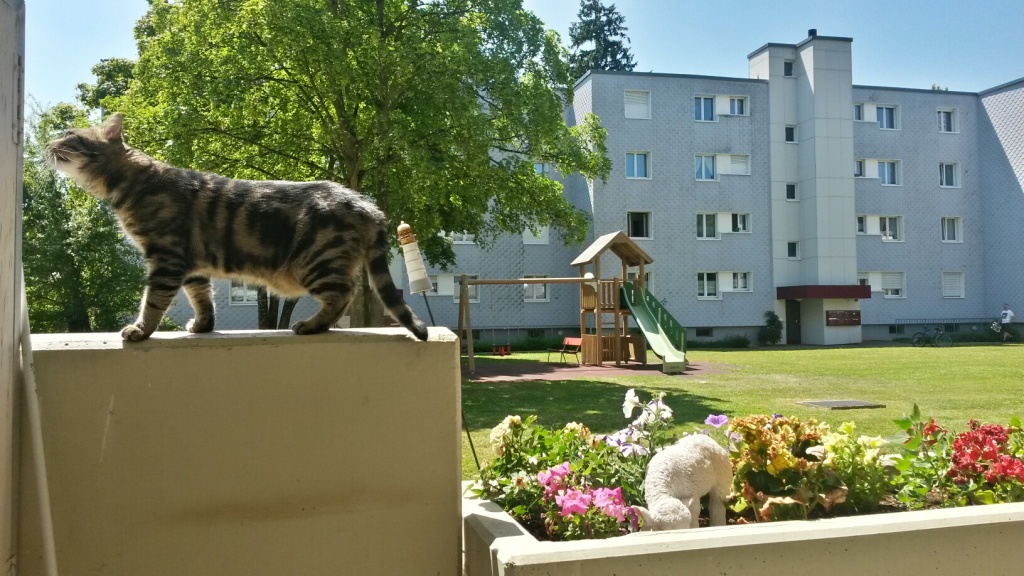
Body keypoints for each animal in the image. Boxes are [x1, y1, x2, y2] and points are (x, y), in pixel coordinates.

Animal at [46, 114, 430, 342]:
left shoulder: (165, 258)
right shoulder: (192, 266)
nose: (47, 145)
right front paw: (203, 326)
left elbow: (153, 301)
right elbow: (202, 298)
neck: (133, 183)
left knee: (343, 294)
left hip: (315, 263)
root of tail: (368, 205)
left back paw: (312, 325)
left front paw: (141, 330)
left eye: (69, 135)